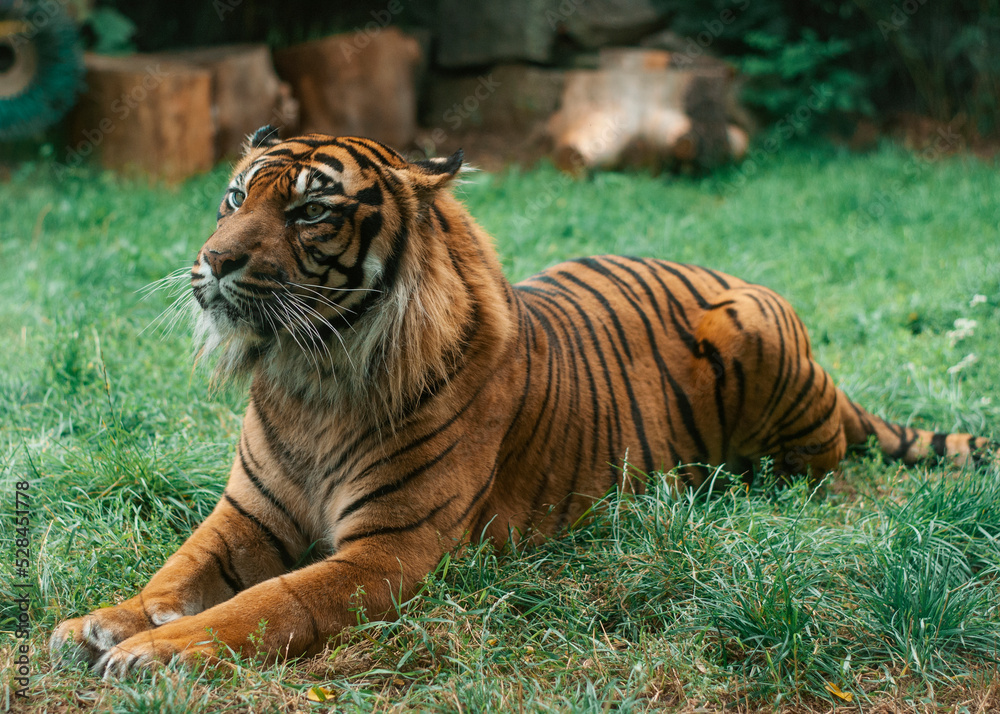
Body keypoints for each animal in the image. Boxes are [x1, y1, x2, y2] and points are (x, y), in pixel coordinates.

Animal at [51, 126, 996, 676]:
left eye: (313, 210)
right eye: (236, 197)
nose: (212, 262)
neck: (310, 376)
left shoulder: (388, 550)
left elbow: (270, 602)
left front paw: (158, 651)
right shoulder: (244, 516)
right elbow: (177, 571)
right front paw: (101, 623)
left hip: (759, 337)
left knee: (818, 465)